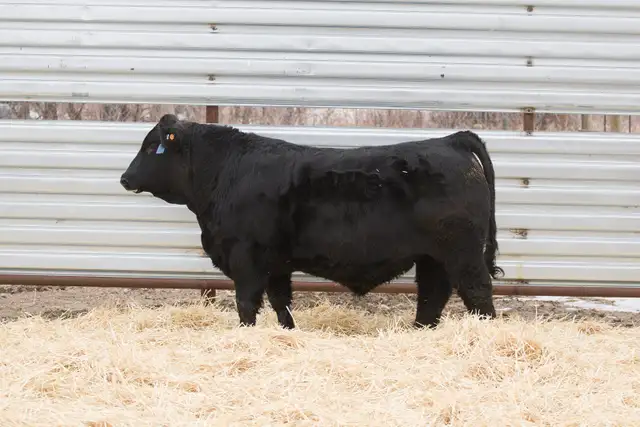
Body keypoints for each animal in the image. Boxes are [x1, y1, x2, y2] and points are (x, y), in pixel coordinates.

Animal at [120, 114, 504, 330]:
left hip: (463, 253)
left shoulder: (246, 258)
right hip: (431, 257)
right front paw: (287, 332)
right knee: (432, 296)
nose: (124, 178)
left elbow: (247, 303)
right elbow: (281, 302)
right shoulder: (276, 264)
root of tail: (450, 140)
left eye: (151, 146)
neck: (224, 173)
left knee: (477, 292)